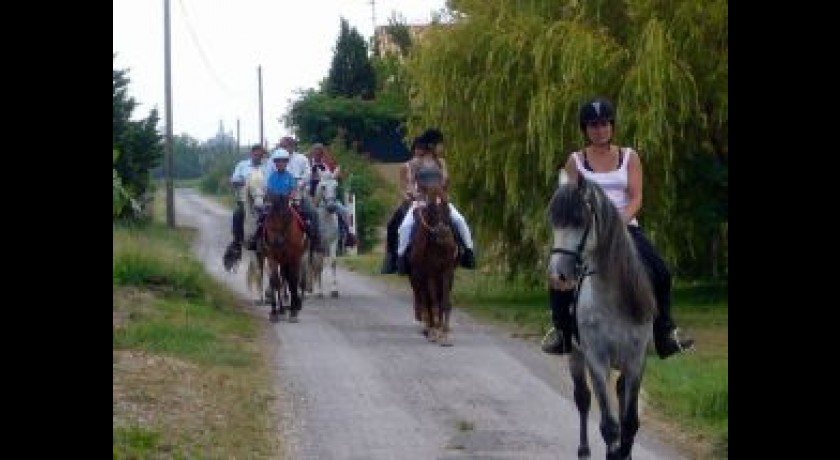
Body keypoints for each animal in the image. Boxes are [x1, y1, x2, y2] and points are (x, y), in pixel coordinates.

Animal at [262, 192, 308, 322]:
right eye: (269, 217)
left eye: (285, 216)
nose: (276, 241)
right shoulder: (272, 257)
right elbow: (275, 281)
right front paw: (275, 312)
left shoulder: (294, 258)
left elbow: (293, 281)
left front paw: (293, 311)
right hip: (282, 260)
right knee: (283, 278)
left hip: (300, 258)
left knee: (297, 280)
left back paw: (296, 304)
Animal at [408, 181, 460, 346]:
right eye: (430, 207)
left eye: (447, 204)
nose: (443, 233)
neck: (438, 246)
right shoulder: (429, 273)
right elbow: (432, 302)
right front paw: (435, 332)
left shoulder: (447, 271)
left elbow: (444, 302)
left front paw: (444, 334)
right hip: (417, 278)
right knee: (424, 300)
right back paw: (428, 328)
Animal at [548, 172, 660, 460]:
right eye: (553, 221)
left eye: (579, 220)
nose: (558, 276)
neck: (613, 300)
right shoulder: (596, 360)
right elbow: (609, 425)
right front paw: (614, 451)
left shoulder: (636, 360)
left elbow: (630, 422)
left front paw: (624, 452)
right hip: (576, 355)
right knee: (583, 399)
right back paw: (584, 451)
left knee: (619, 394)